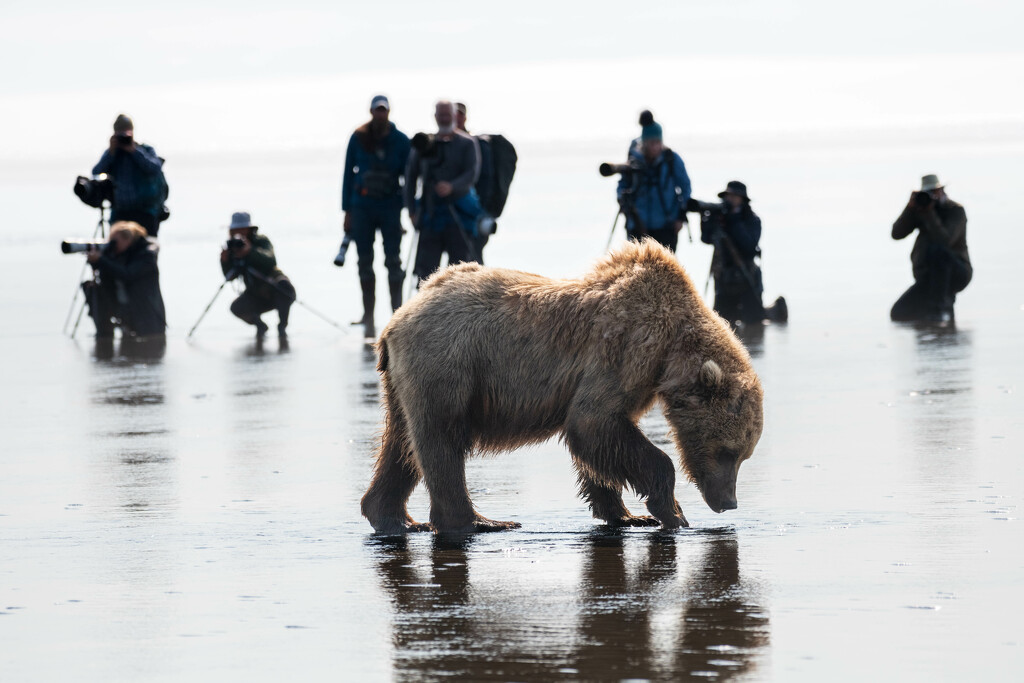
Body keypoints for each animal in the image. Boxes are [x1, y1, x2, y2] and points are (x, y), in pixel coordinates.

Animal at [360, 240, 761, 532]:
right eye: (727, 451)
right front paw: (673, 513)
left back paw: (393, 516)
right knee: (441, 439)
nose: (729, 502)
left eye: (744, 454)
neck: (670, 349)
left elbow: (601, 442)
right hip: (450, 363)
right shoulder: (625, 350)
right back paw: (480, 521)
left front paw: (627, 513)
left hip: (402, 383)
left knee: (401, 443)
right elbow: (593, 421)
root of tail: (396, 320)